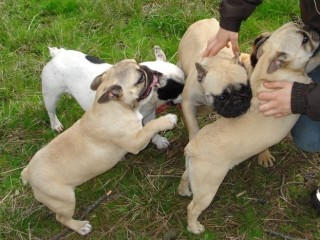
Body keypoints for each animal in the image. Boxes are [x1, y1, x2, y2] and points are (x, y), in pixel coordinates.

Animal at [21, 59, 178, 235]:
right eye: (140, 79)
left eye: (138, 64)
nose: (147, 69)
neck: (115, 106)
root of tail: (28, 172)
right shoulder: (135, 142)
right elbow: (150, 127)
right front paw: (167, 120)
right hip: (64, 199)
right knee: (61, 218)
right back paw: (80, 227)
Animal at [42, 46, 185, 149]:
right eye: (177, 90)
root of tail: (58, 54)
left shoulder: (149, 115)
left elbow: (152, 127)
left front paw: (158, 140)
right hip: (51, 95)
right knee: (51, 111)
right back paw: (56, 124)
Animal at [178, 22, 320, 234]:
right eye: (304, 39)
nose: (312, 29)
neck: (269, 67)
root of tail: (192, 147)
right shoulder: (302, 79)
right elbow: (312, 64)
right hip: (207, 186)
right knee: (193, 208)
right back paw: (194, 227)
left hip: (195, 173)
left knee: (185, 176)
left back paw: (184, 189)